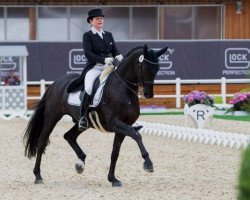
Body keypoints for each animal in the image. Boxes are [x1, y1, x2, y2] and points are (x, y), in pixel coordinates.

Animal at [23, 44, 168, 187]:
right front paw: (148, 163)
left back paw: (80, 163)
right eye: (147, 67)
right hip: (52, 117)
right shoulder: (114, 123)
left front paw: (113, 179)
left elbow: (115, 152)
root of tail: (55, 84)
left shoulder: (123, 126)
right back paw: (38, 176)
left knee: (69, 136)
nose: (149, 94)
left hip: (83, 123)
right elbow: (136, 135)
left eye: (158, 68)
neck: (123, 89)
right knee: (42, 142)